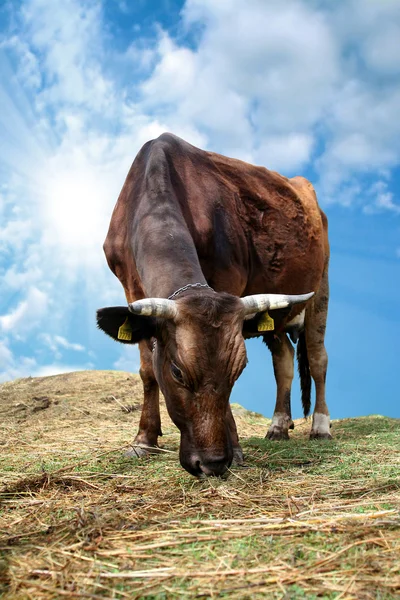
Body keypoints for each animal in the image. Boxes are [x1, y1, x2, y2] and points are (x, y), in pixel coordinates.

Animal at [96, 134, 328, 476]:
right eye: (177, 372)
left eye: (238, 370)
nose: (213, 462)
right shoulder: (130, 289)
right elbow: (147, 371)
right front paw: (143, 440)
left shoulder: (229, 281)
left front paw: (237, 449)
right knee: (283, 358)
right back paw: (278, 426)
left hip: (321, 287)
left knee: (317, 358)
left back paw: (321, 427)